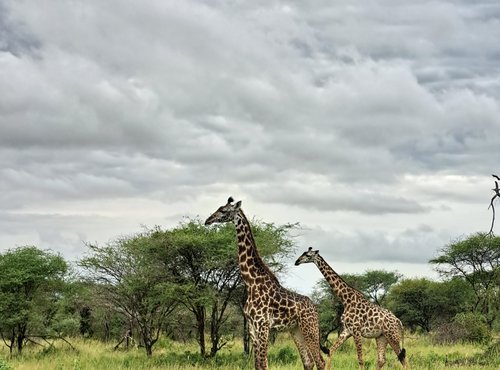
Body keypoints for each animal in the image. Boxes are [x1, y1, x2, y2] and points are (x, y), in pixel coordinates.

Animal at [204, 198, 326, 370]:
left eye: (224, 211)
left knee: (320, 361)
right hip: (296, 330)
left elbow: (264, 364)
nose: (208, 220)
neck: (251, 282)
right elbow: (258, 364)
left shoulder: (263, 325)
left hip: (310, 328)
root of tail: (315, 308)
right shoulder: (252, 327)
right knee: (308, 362)